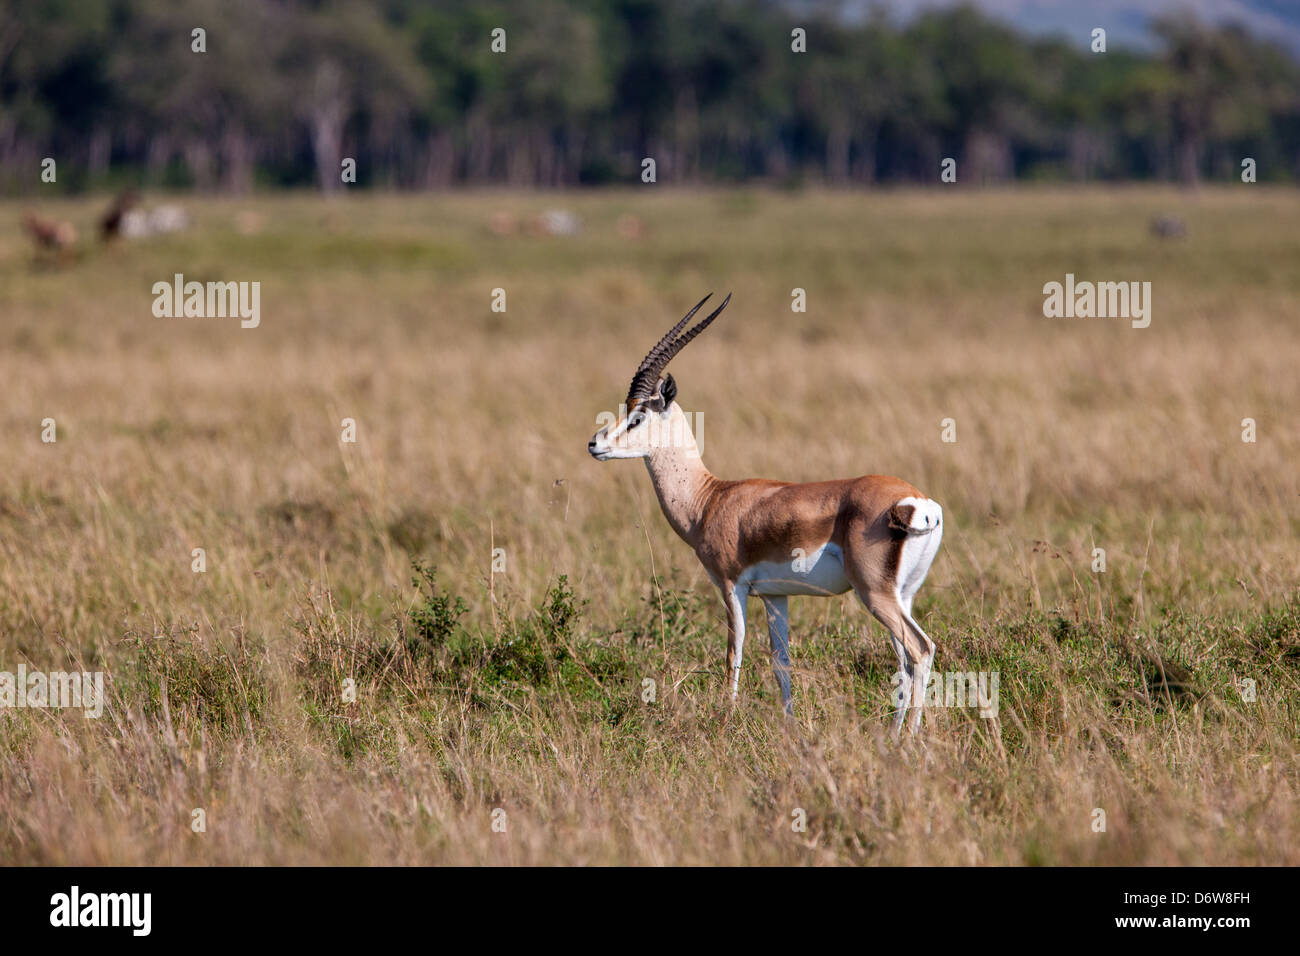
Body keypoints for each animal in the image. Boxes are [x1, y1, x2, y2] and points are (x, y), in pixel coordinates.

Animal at [588, 294, 944, 732]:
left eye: (638, 416)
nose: (594, 443)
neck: (709, 499)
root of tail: (917, 503)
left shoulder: (731, 585)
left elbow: (733, 654)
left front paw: (726, 720)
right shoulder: (776, 596)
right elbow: (780, 662)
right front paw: (790, 727)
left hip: (875, 594)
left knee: (920, 649)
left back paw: (907, 738)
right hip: (902, 595)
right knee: (905, 659)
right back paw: (893, 735)